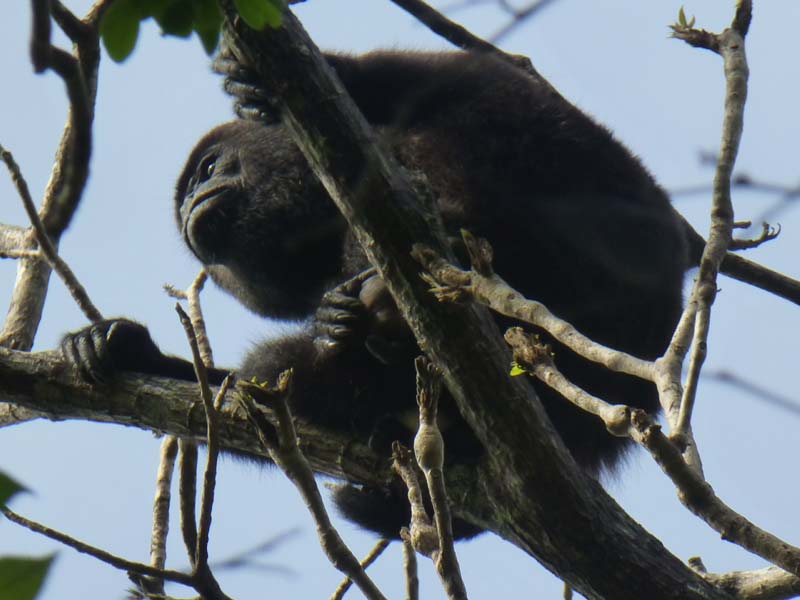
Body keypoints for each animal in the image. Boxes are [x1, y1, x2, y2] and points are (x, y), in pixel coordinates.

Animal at [61, 50, 688, 540]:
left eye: (209, 168)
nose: (191, 204)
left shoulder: (452, 68)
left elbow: (390, 86)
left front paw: (265, 80)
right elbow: (240, 406)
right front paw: (120, 345)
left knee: (421, 153)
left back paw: (389, 304)